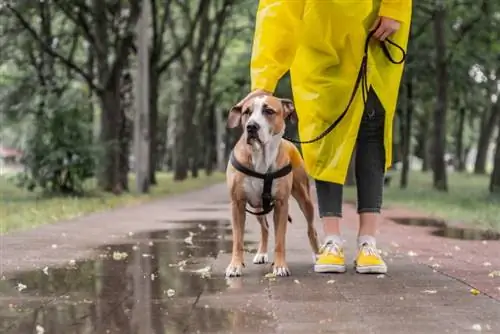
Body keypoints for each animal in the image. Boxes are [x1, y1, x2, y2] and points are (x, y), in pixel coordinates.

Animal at [224, 95, 318, 278]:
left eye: (268, 111)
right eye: (246, 112)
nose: (251, 126)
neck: (261, 156)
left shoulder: (281, 204)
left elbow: (280, 239)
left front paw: (280, 266)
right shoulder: (237, 203)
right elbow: (237, 240)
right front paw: (235, 265)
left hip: (305, 199)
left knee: (311, 228)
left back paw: (319, 256)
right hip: (258, 206)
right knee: (265, 228)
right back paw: (261, 253)